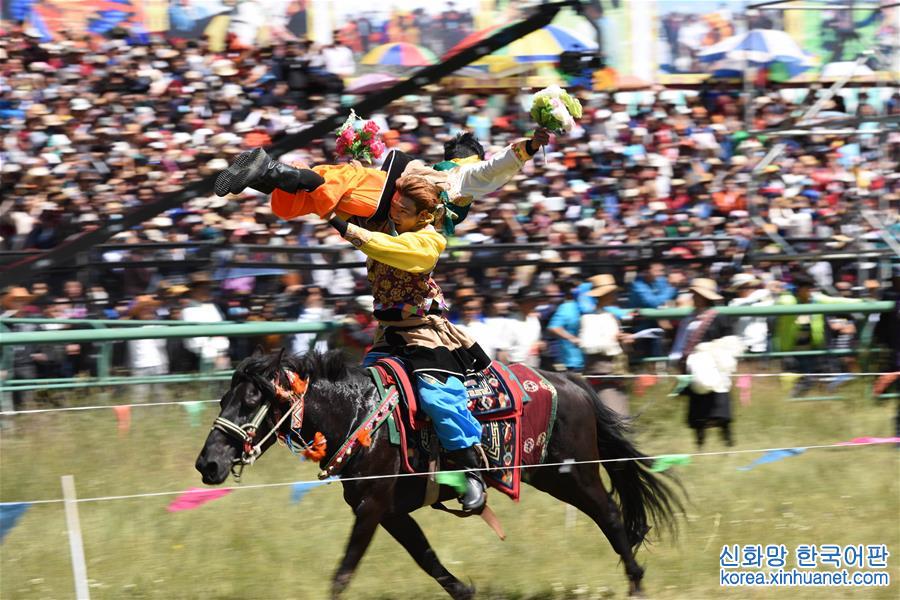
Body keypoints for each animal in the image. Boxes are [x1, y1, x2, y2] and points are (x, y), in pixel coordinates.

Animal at [193, 350, 680, 596]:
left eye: (252, 400)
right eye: (223, 400)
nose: (208, 464)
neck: (359, 414)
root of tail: (573, 382)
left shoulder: (371, 507)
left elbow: (344, 571)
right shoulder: (389, 512)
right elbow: (427, 559)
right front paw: (466, 592)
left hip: (571, 474)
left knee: (611, 516)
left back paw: (636, 584)